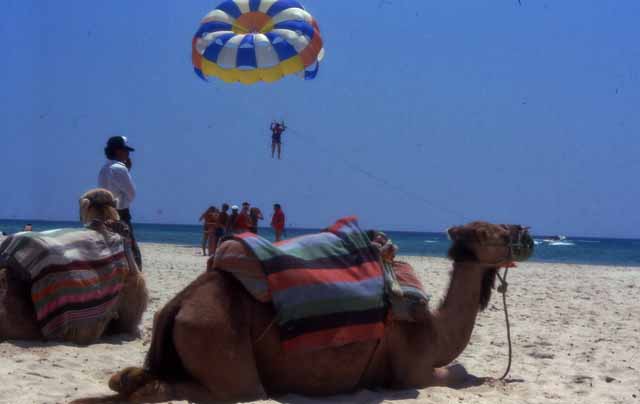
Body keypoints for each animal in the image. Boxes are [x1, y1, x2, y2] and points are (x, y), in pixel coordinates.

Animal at [72, 221, 532, 404]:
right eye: (492, 232)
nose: (525, 233)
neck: (434, 330)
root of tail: (177, 304)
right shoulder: (412, 373)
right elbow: (459, 373)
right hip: (221, 344)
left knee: (135, 379)